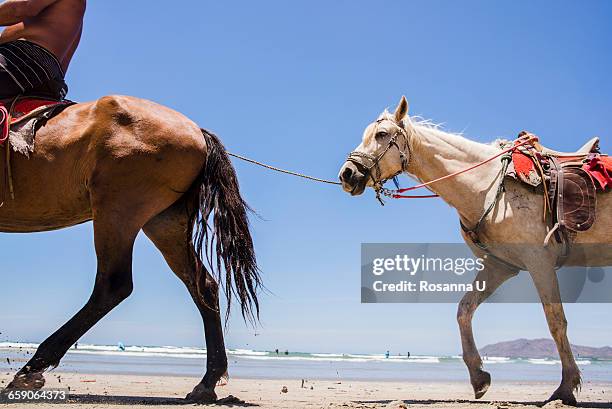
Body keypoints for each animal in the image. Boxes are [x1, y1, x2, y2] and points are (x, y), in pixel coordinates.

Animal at [0, 95, 260, 402]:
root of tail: (197, 132)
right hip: (164, 222)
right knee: (203, 285)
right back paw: (207, 382)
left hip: (117, 210)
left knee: (113, 286)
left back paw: (32, 369)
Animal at [340, 96, 612, 404]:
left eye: (381, 135)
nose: (347, 174)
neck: (487, 186)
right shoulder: (500, 266)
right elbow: (464, 310)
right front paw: (479, 377)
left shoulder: (539, 262)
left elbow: (556, 321)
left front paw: (566, 386)